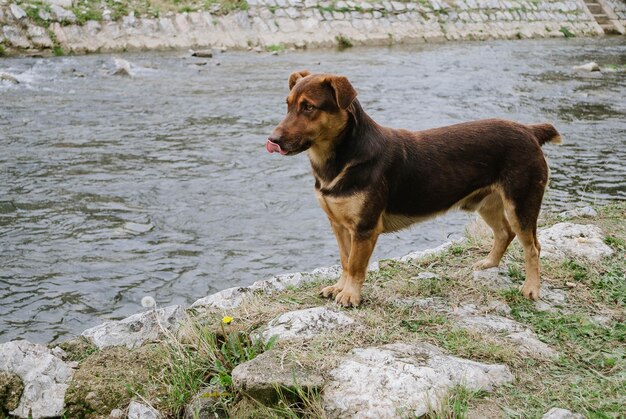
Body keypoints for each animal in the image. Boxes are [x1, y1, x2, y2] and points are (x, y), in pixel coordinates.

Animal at [266, 71, 560, 308]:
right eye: (288, 105)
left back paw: (531, 288)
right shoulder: (339, 225)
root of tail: (530, 130)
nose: (273, 140)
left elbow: (355, 265)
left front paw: (350, 295)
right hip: (487, 203)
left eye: (308, 107)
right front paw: (339, 287)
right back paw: (489, 263)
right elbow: (344, 260)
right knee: (504, 233)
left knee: (533, 247)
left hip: (521, 204)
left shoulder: (364, 229)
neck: (340, 158)